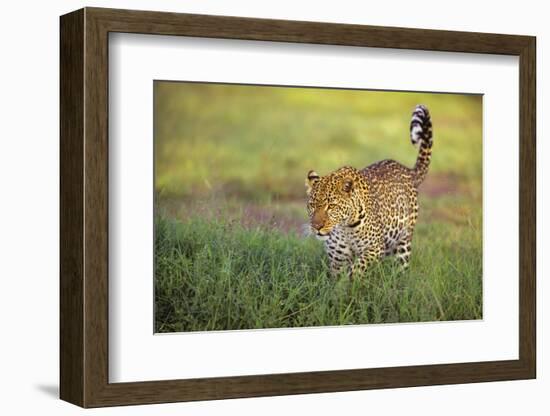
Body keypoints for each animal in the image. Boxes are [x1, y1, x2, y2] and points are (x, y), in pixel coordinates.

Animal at [308, 104, 434, 276]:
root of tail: (408, 171)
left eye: (331, 206)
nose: (316, 227)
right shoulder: (338, 259)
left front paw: (352, 278)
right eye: (311, 206)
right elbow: (338, 279)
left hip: (403, 241)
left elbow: (356, 270)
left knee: (401, 266)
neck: (345, 227)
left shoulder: (374, 249)